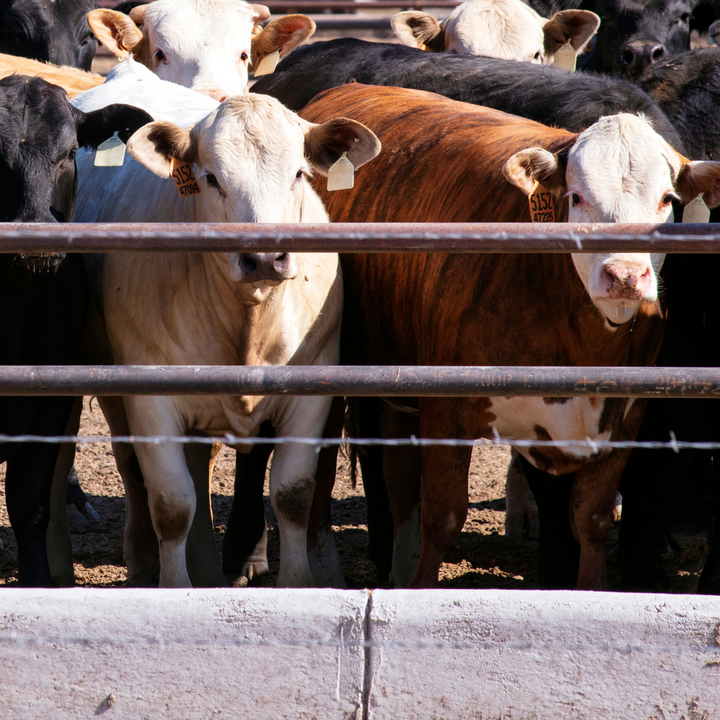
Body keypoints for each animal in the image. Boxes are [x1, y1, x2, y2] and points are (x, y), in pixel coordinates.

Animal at [70, 62, 380, 588]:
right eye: (211, 177)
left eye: (299, 174)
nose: (264, 258)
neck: (247, 322)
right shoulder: (150, 400)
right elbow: (171, 503)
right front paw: (174, 586)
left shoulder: (312, 393)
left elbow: (292, 495)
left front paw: (297, 583)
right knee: (135, 471)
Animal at [296, 82, 720, 590]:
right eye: (576, 197)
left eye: (666, 199)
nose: (624, 276)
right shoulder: (446, 410)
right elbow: (443, 517)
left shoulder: (624, 418)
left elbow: (592, 519)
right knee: (321, 473)